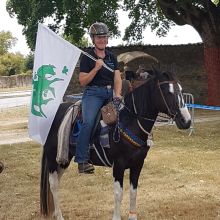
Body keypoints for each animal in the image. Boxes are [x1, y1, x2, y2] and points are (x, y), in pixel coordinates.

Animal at [40, 69, 191, 220]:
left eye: (181, 90)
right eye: (167, 92)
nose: (186, 121)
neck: (129, 121)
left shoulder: (138, 164)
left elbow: (133, 192)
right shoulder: (118, 164)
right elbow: (118, 193)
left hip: (64, 158)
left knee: (56, 181)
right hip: (53, 157)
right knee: (53, 184)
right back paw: (59, 216)